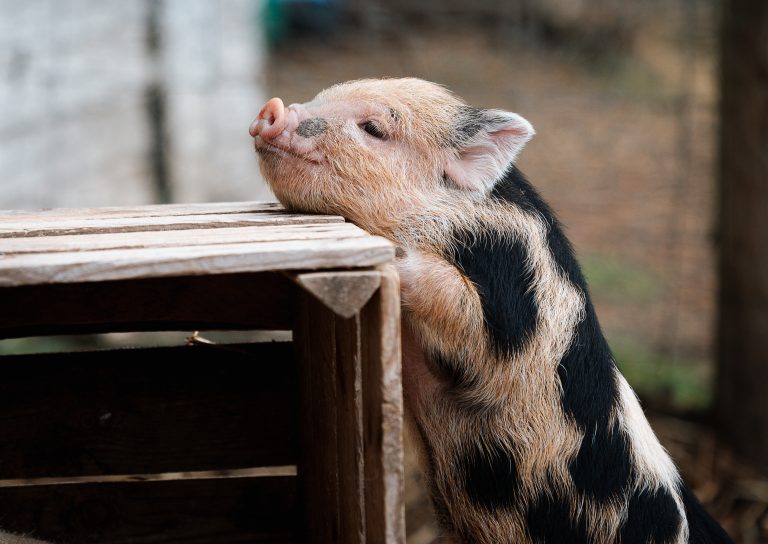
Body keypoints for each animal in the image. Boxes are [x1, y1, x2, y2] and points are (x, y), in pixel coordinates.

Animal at [251, 78, 733, 544]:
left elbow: (462, 310)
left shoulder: (510, 297)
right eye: (320, 95)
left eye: (374, 129)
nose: (273, 108)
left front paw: (391, 249)